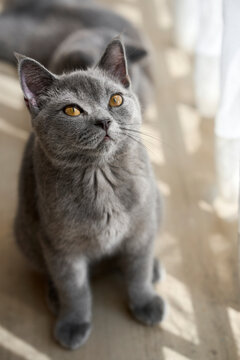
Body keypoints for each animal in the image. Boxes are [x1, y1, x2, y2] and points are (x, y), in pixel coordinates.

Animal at [14, 38, 166, 350]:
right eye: (72, 110)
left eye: (115, 100)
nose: (104, 121)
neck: (100, 178)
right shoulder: (61, 247)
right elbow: (74, 290)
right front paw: (73, 324)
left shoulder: (141, 228)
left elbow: (139, 271)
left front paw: (145, 302)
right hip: (26, 235)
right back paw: (54, 296)